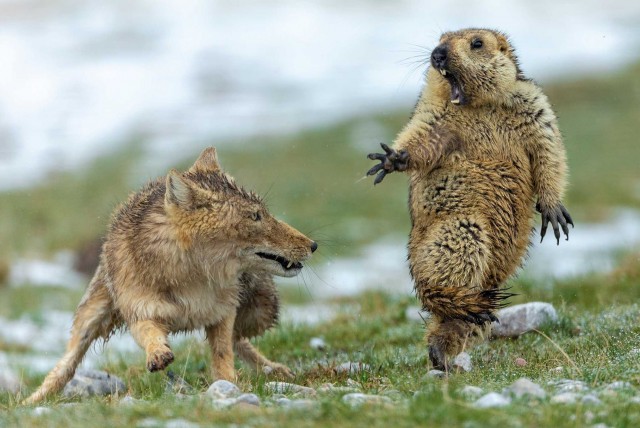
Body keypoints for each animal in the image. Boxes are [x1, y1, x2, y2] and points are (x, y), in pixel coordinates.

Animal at [25, 147, 317, 404]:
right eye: (255, 216)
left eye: (263, 213)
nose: (313, 245)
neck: (191, 280)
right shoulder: (140, 312)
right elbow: (150, 334)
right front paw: (158, 355)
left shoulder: (222, 313)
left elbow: (223, 353)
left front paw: (229, 384)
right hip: (90, 317)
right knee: (65, 365)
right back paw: (32, 400)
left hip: (260, 312)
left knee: (240, 340)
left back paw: (274, 369)